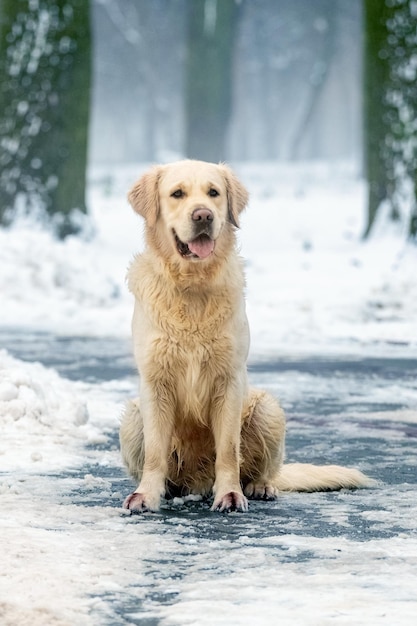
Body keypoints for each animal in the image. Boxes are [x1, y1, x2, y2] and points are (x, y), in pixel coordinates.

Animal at [118, 158, 372, 510]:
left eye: (213, 193)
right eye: (177, 193)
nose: (203, 215)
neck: (193, 287)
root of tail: (197, 482)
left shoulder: (229, 380)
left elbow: (228, 450)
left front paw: (230, 494)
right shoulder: (155, 383)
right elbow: (156, 453)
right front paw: (146, 494)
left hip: (267, 409)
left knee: (260, 469)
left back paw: (259, 486)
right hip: (132, 417)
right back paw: (169, 489)